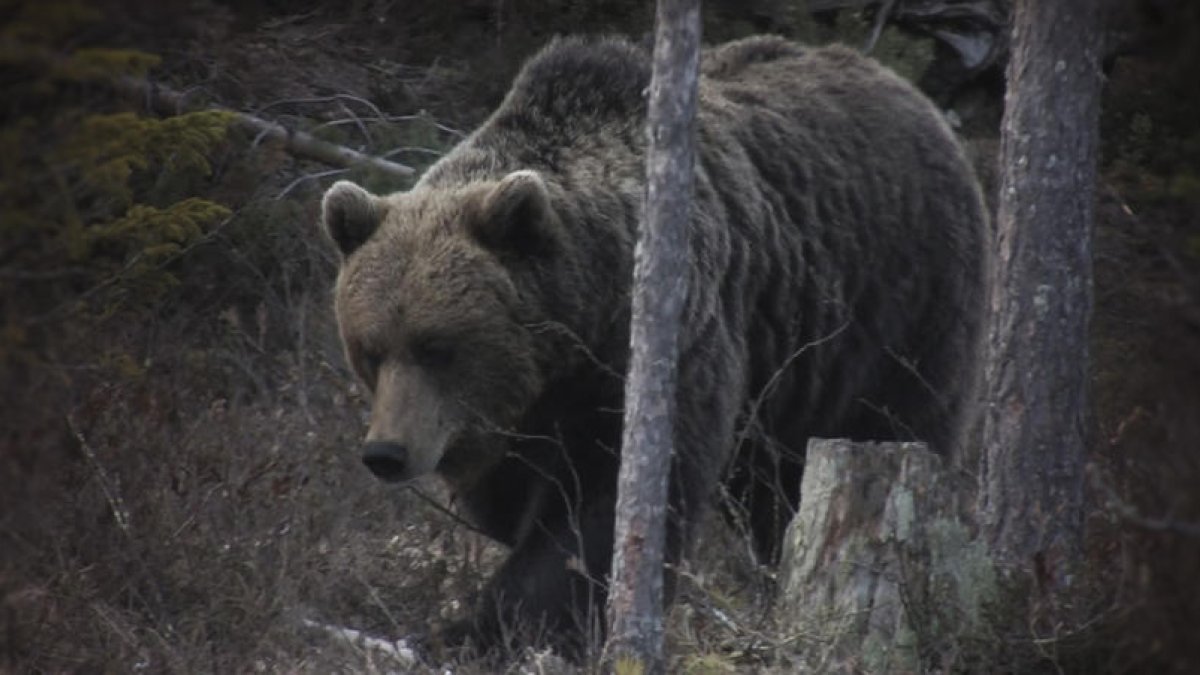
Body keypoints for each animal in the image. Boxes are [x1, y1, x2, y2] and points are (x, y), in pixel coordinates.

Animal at [320, 35, 987, 655]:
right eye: (370, 349)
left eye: (438, 346)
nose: (386, 452)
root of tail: (911, 93)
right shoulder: (519, 418)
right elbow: (511, 497)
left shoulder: (661, 351)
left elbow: (605, 509)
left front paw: (485, 627)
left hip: (892, 309)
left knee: (887, 426)